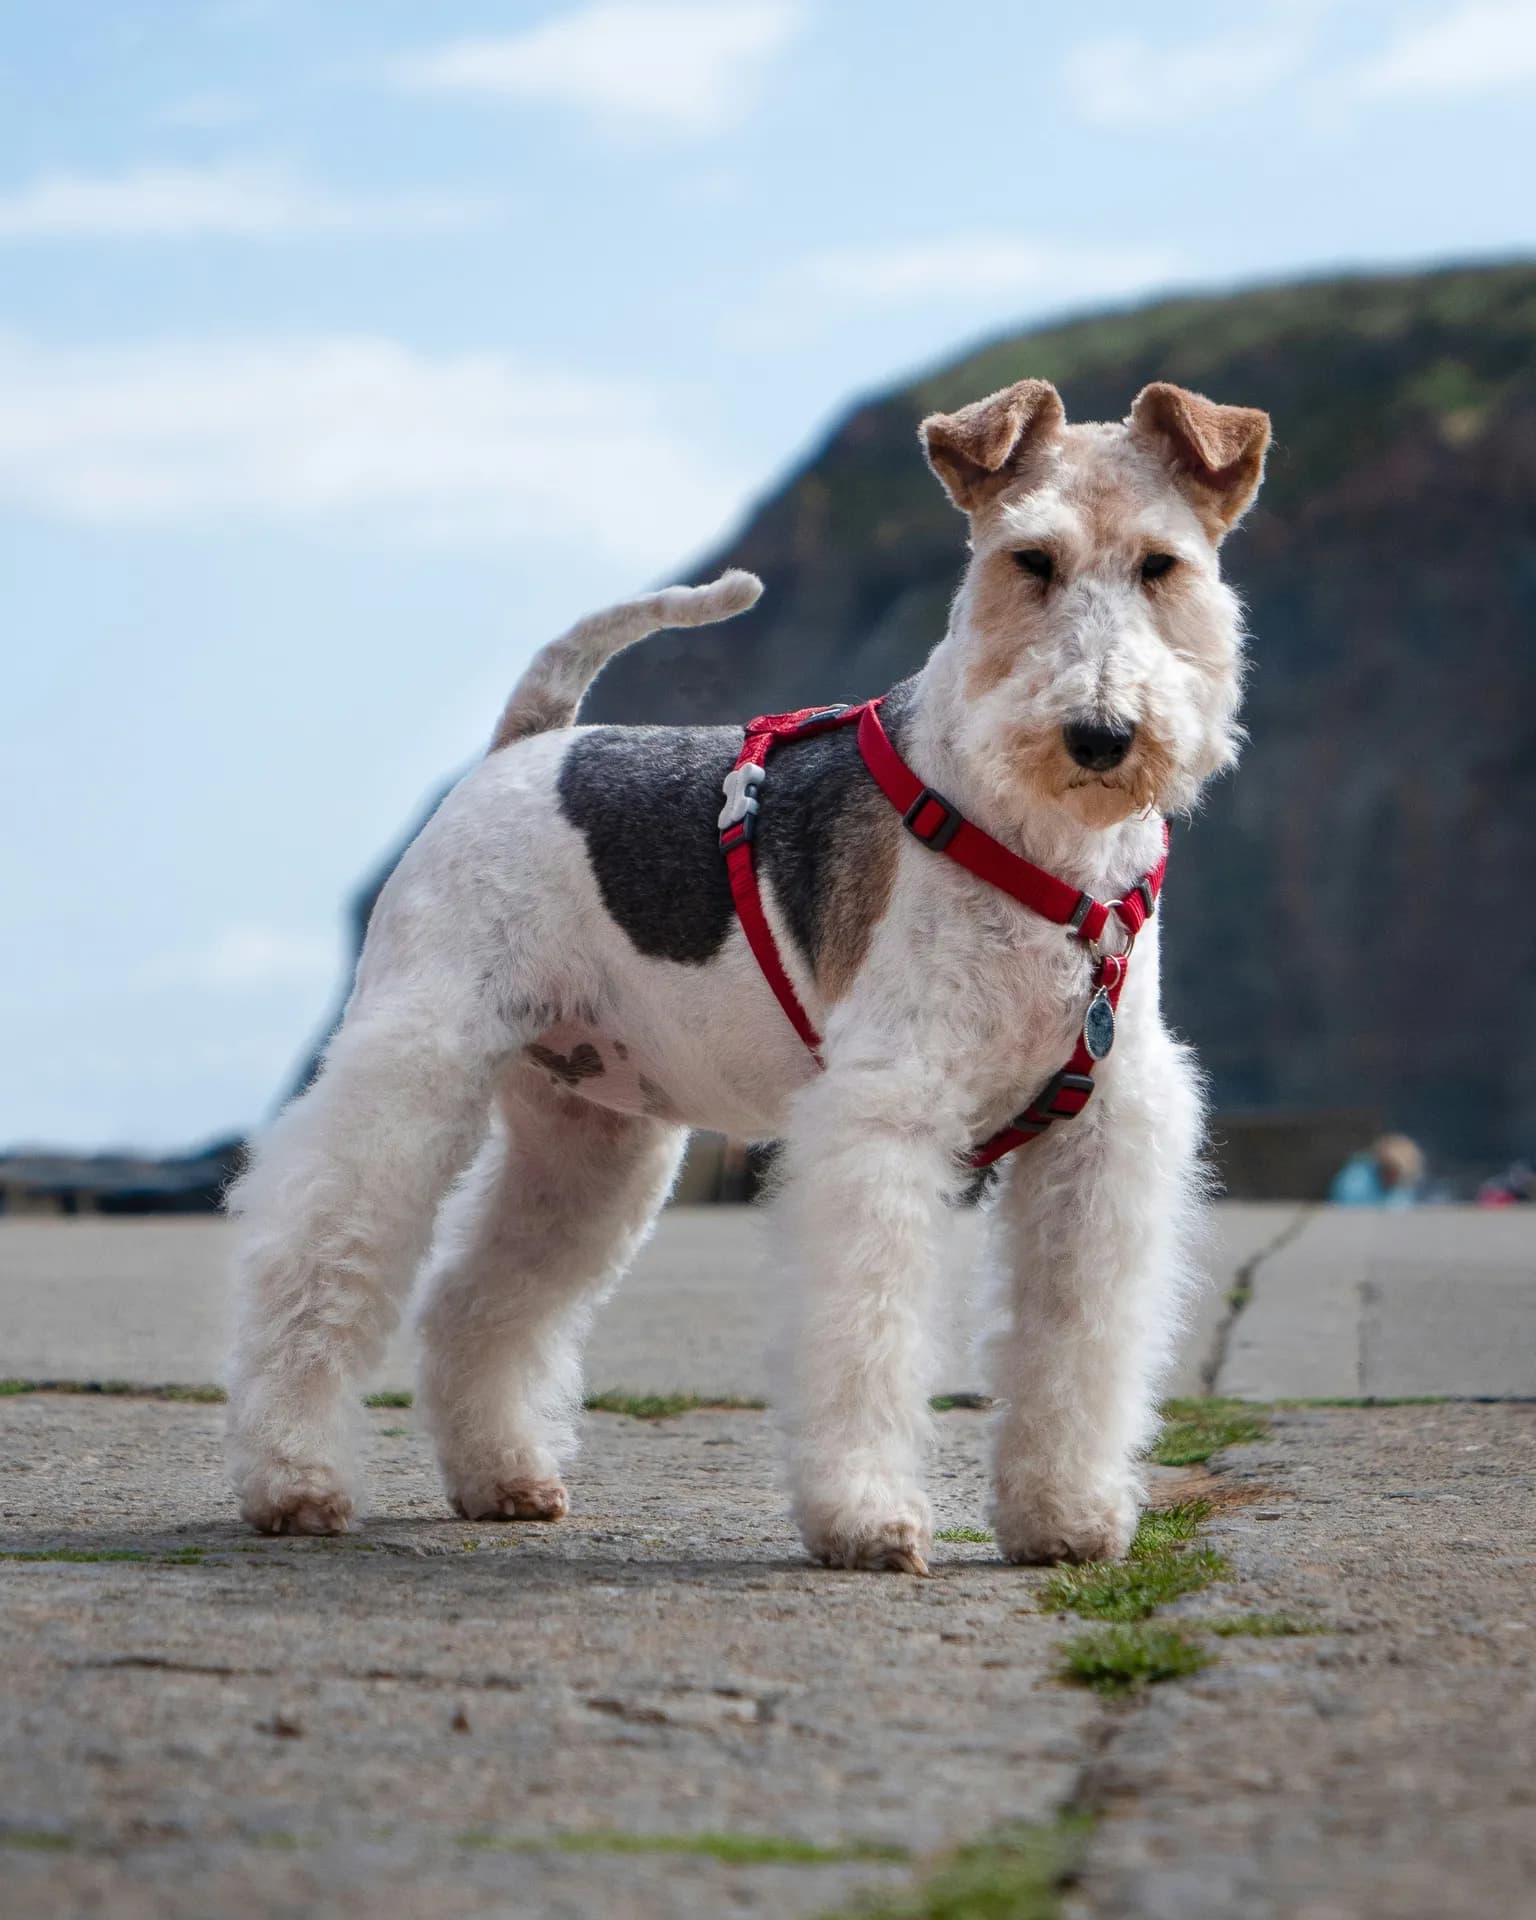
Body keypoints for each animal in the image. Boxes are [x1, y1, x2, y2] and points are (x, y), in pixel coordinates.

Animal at [221, 378, 1267, 1574]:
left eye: (1161, 564)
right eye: (1030, 561)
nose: (1099, 735)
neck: (1040, 845)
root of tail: (525, 746)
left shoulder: (1099, 1138)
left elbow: (1076, 1336)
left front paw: (1066, 1517)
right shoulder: (886, 1115)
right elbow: (867, 1327)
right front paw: (868, 1518)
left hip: (594, 1146)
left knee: (473, 1304)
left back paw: (504, 1478)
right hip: (414, 1075)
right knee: (315, 1266)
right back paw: (294, 1481)